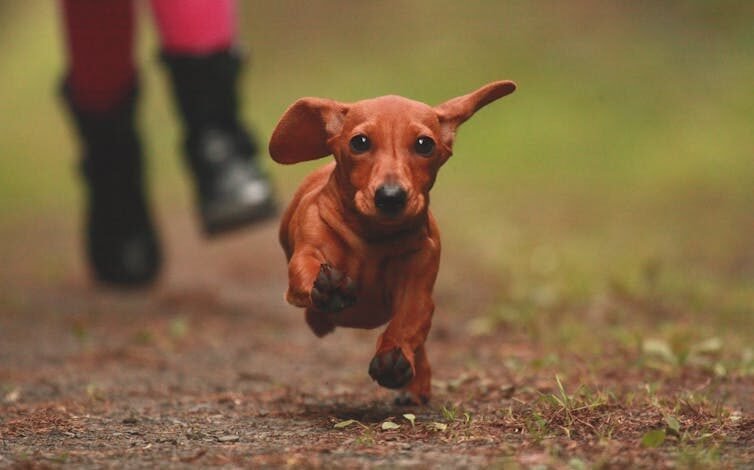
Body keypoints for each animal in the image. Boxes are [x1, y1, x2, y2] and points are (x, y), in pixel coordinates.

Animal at [268, 81, 516, 404]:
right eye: (359, 142)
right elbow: (306, 268)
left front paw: (392, 356)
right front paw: (331, 287)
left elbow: (407, 322)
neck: (373, 238)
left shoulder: (418, 290)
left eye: (425, 144)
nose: (390, 197)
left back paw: (415, 385)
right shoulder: (310, 249)